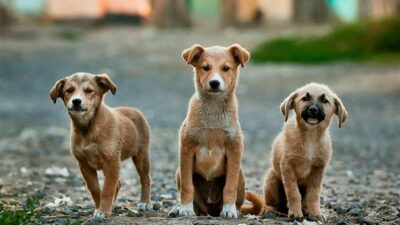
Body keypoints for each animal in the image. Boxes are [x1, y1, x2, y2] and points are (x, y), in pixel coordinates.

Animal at [48, 72, 152, 218]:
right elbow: (96, 189)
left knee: (145, 179)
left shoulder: (112, 161)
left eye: (89, 90)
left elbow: (107, 189)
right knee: (118, 184)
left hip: (141, 156)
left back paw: (145, 203)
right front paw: (100, 208)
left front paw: (103, 211)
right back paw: (112, 206)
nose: (76, 101)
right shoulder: (84, 164)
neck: (88, 128)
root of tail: (134, 110)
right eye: (69, 90)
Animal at [172, 43, 250, 217]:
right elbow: (187, 186)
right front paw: (185, 209)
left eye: (226, 68)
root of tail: (210, 210)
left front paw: (229, 209)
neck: (213, 108)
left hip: (241, 175)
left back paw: (234, 209)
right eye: (205, 67)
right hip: (179, 172)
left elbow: (230, 186)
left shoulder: (234, 149)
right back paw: (180, 209)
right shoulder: (186, 149)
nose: (215, 83)